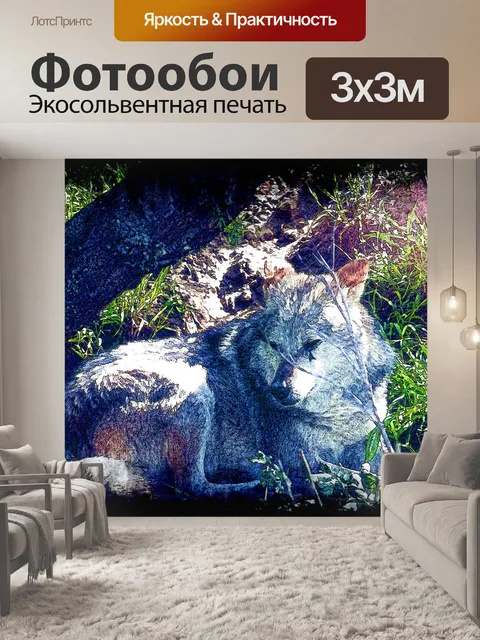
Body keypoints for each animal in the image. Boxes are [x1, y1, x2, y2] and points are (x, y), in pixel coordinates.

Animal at [66, 259, 395, 499]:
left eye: (311, 344)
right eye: (274, 345)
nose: (278, 391)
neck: (336, 411)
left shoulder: (373, 441)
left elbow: (379, 465)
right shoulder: (300, 458)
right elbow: (355, 474)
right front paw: (349, 482)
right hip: (194, 389)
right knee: (193, 487)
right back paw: (271, 483)